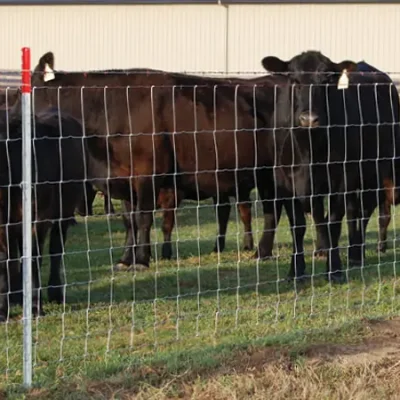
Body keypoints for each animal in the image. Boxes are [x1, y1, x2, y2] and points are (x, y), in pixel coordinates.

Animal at [0, 108, 85, 320]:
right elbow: (5, 260)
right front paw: (3, 309)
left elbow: (34, 259)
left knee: (56, 250)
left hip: (64, 212)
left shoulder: (39, 218)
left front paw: (36, 306)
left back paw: (55, 292)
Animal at [260, 50, 398, 282]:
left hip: (375, 172)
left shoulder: (342, 178)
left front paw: (334, 270)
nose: (309, 119)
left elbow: (333, 222)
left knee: (364, 211)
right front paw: (296, 271)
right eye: (294, 80)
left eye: (326, 80)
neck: (309, 149)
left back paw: (356, 253)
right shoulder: (284, 181)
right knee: (347, 213)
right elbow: (299, 224)